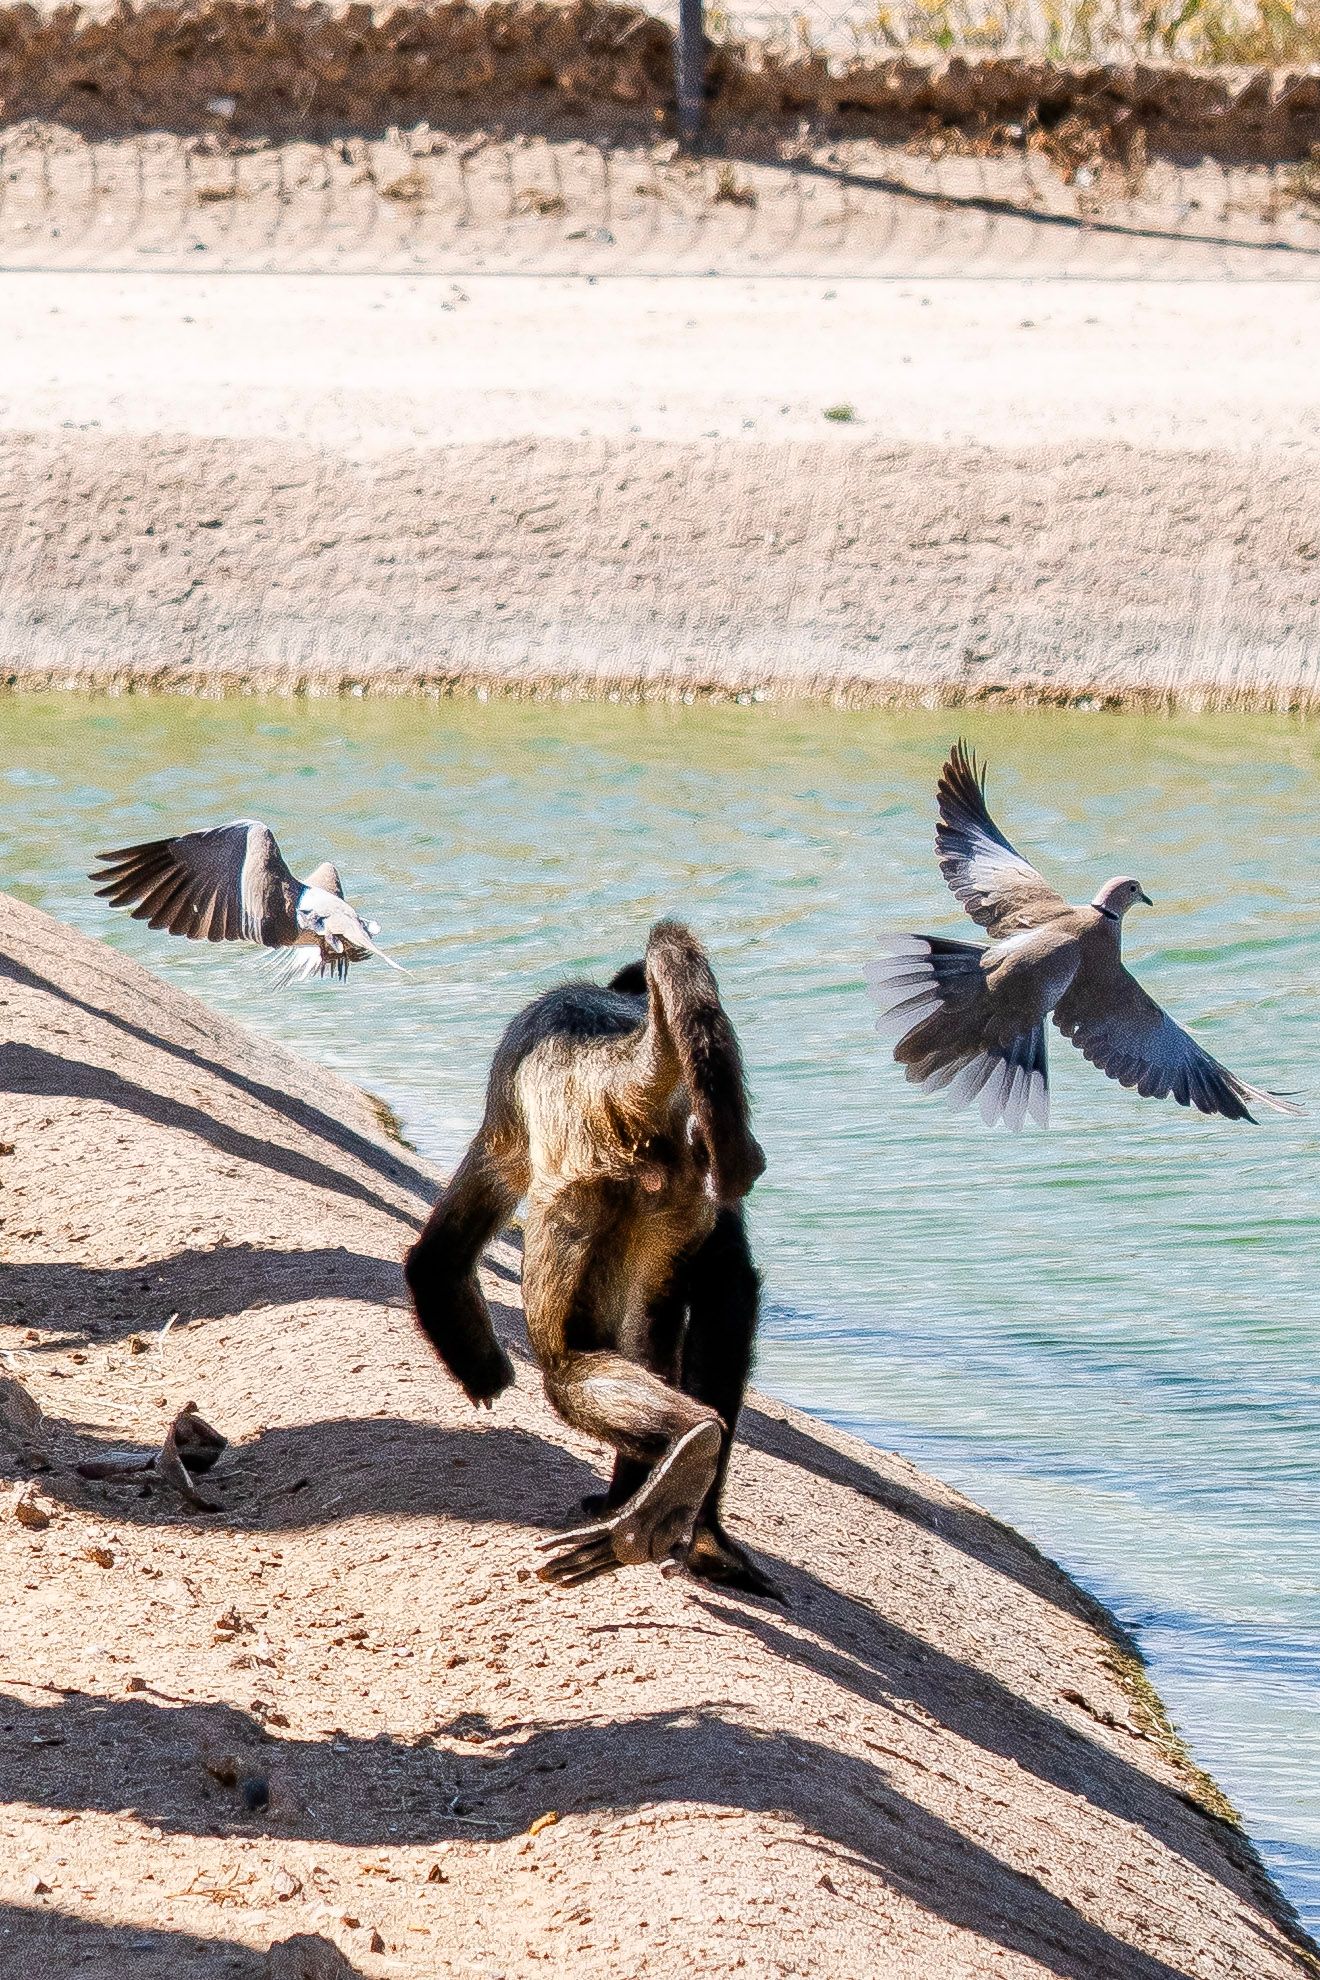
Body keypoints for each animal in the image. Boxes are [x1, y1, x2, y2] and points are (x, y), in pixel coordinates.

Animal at [403, 919, 776, 1597]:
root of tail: (619, 1074)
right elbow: (731, 1288)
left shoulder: (509, 1078)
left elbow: (440, 1257)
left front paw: (480, 1366)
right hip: (672, 1193)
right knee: (673, 1321)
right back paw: (683, 1506)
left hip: (584, 1194)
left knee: (563, 1361)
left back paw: (679, 1461)